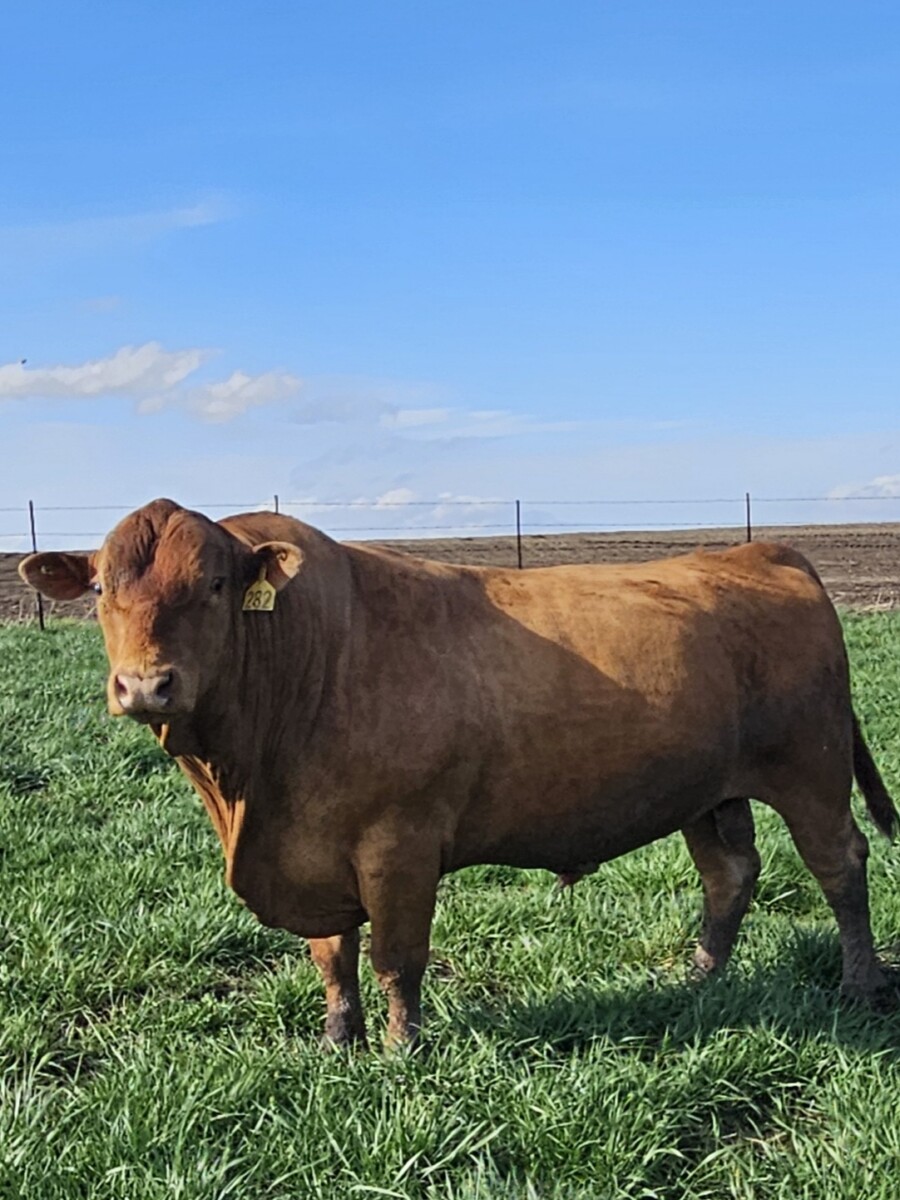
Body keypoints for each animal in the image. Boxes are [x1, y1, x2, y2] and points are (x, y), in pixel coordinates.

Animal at [19, 499, 897, 1048]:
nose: (145, 686)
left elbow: (395, 956)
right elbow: (332, 955)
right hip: (707, 791)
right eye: (100, 587)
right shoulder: (310, 846)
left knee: (840, 864)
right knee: (731, 873)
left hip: (810, 771)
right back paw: (702, 980)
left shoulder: (398, 846)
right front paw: (337, 1039)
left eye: (214, 584)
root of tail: (763, 549)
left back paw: (860, 986)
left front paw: (402, 1050)